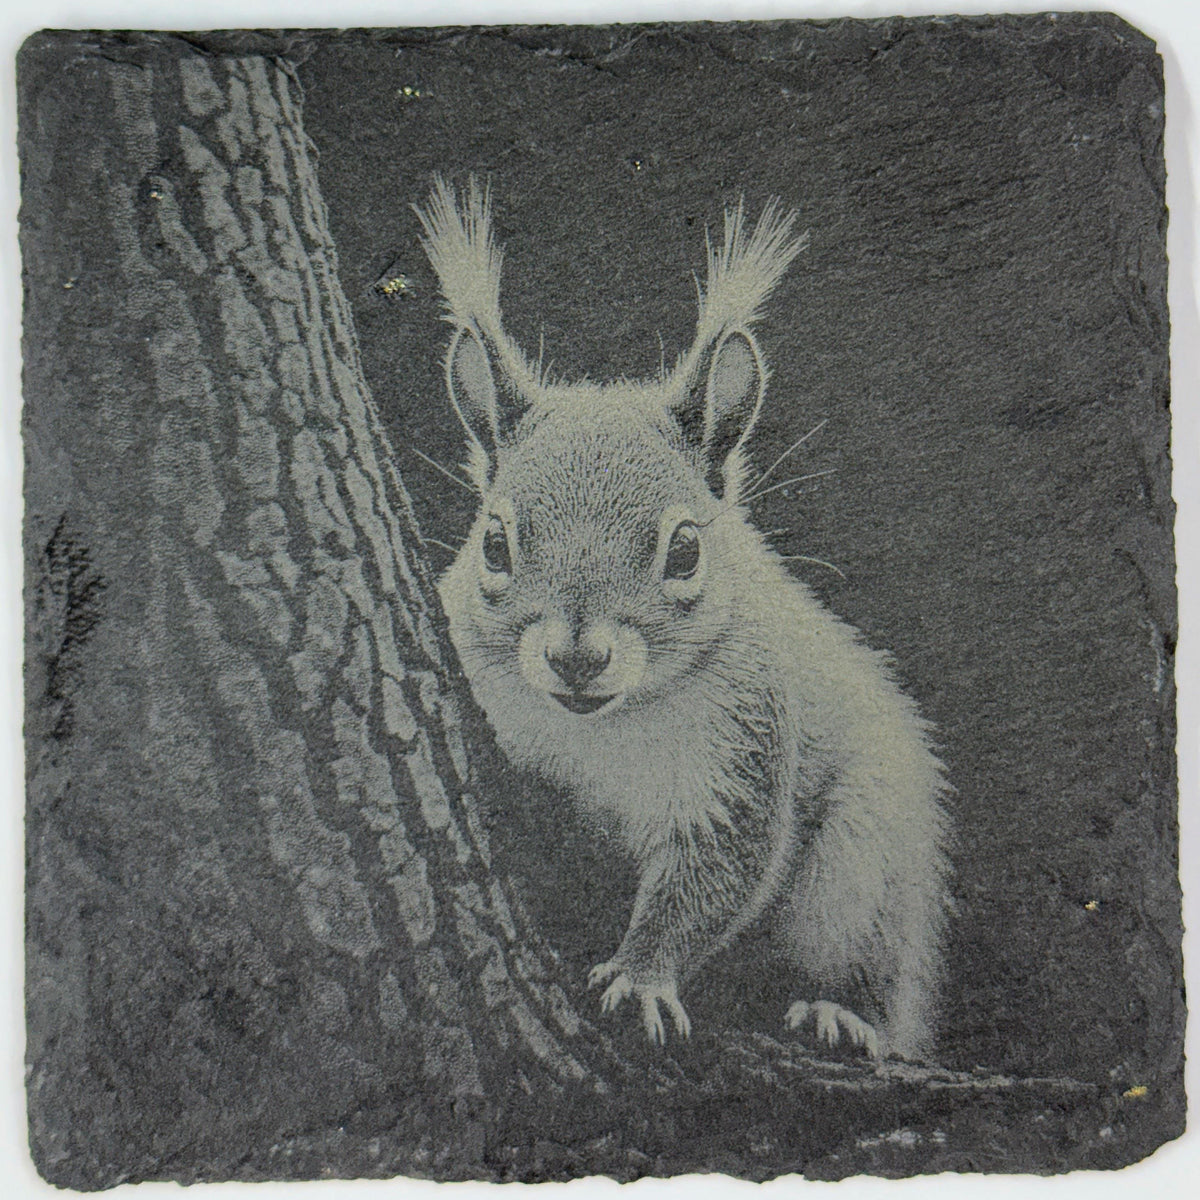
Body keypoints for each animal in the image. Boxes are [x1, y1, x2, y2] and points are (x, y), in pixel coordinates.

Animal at [414, 178, 952, 1060]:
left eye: (686, 551)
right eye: (493, 542)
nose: (577, 657)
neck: (604, 727)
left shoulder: (744, 744)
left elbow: (711, 880)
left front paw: (642, 979)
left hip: (864, 866)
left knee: (871, 965)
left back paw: (842, 1014)